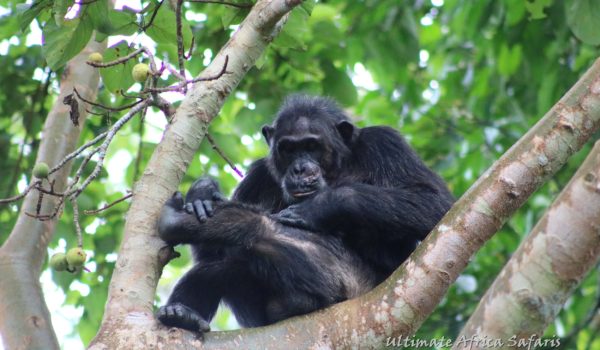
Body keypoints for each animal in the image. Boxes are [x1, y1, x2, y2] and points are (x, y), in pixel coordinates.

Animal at [158, 176, 376, 332]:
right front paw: (202, 192)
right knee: (218, 270)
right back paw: (180, 315)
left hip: (346, 279)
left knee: (261, 228)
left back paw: (172, 221)